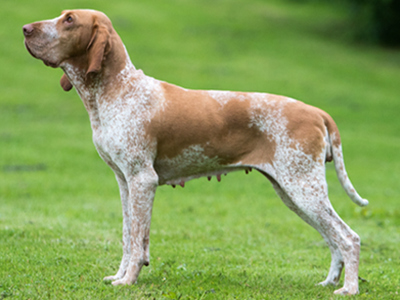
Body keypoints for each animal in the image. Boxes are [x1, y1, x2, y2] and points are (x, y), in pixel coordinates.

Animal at [21, 9, 366, 296]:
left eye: (68, 20)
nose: (25, 29)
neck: (118, 89)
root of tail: (317, 112)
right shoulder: (124, 182)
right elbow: (128, 236)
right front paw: (118, 276)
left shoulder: (142, 180)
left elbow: (137, 242)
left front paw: (129, 281)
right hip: (294, 193)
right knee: (333, 239)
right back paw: (328, 282)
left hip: (304, 189)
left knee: (349, 238)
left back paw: (348, 289)